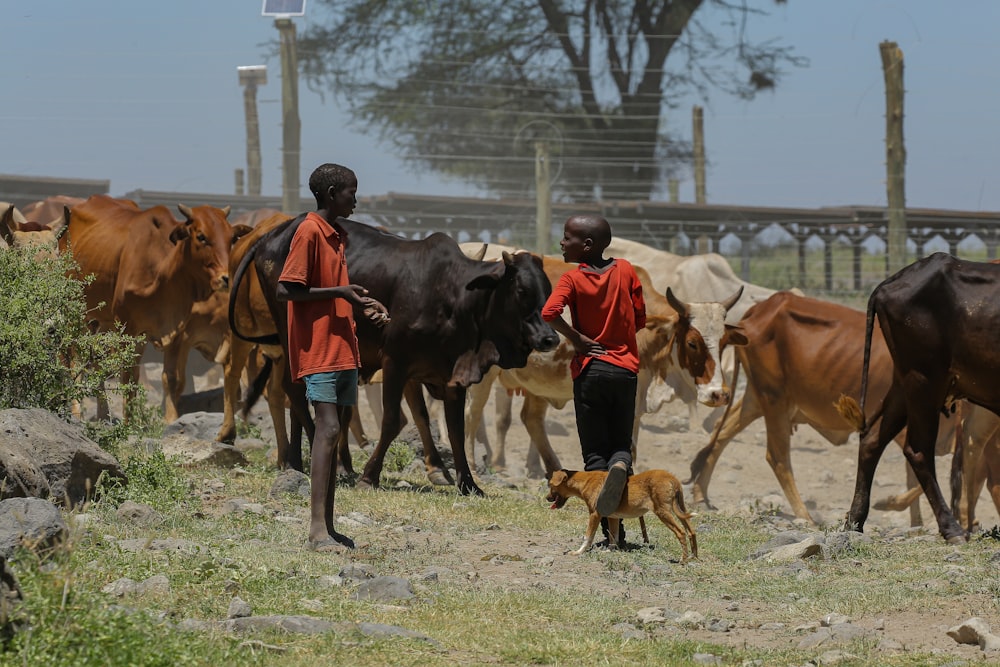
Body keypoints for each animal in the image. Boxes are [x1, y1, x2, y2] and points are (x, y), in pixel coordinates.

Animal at [60, 196, 238, 420]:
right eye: (201, 236)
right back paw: (77, 411)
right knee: (75, 360)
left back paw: (104, 414)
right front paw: (129, 422)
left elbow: (172, 379)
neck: (162, 271)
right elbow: (128, 377)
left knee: (96, 363)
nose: (226, 278)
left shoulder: (174, 332)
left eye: (231, 238)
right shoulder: (127, 328)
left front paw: (170, 420)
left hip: (100, 322)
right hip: (75, 314)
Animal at [230, 215, 560, 496]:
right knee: (294, 391)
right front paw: (369, 476)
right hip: (292, 335)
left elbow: (455, 429)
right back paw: (327, 462)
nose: (551, 338)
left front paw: (468, 484)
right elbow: (392, 421)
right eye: (521, 289)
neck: (454, 296)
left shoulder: (452, 375)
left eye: (548, 288)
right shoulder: (395, 363)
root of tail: (271, 234)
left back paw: (299, 462)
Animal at [548, 470, 696, 564]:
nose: (547, 498)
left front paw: (578, 552)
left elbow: (588, 537)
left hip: (663, 512)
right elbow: (613, 536)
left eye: (550, 485)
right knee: (691, 531)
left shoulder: (595, 514)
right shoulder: (612, 517)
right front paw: (609, 551)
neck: (585, 480)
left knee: (681, 532)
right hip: (680, 510)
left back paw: (683, 560)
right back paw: (694, 557)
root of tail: (673, 478)